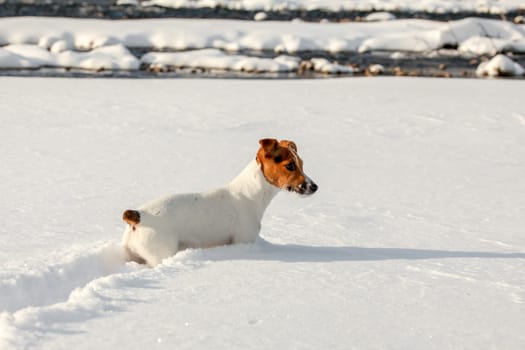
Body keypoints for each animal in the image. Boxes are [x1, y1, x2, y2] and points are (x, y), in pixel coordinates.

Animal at [121, 138, 318, 266]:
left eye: (301, 163)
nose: (314, 187)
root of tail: (138, 216)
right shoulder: (242, 240)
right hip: (160, 252)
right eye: (290, 165)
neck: (249, 193)